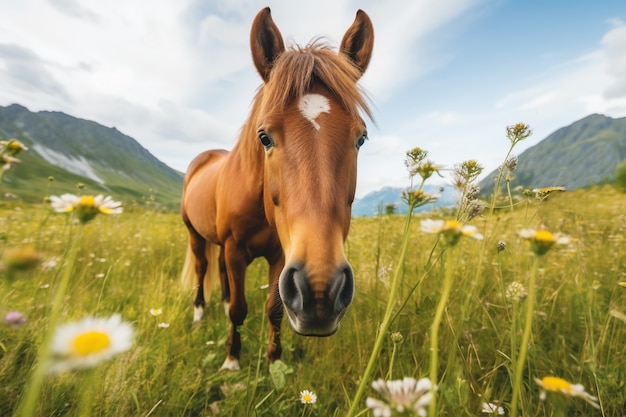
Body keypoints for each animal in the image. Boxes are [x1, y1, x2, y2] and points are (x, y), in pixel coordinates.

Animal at [178, 6, 372, 368]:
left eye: (361, 138)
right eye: (265, 137)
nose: (321, 292)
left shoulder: (281, 257)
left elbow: (274, 310)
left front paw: (274, 362)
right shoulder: (236, 250)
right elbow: (240, 310)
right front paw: (232, 359)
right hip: (196, 235)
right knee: (201, 269)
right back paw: (199, 315)